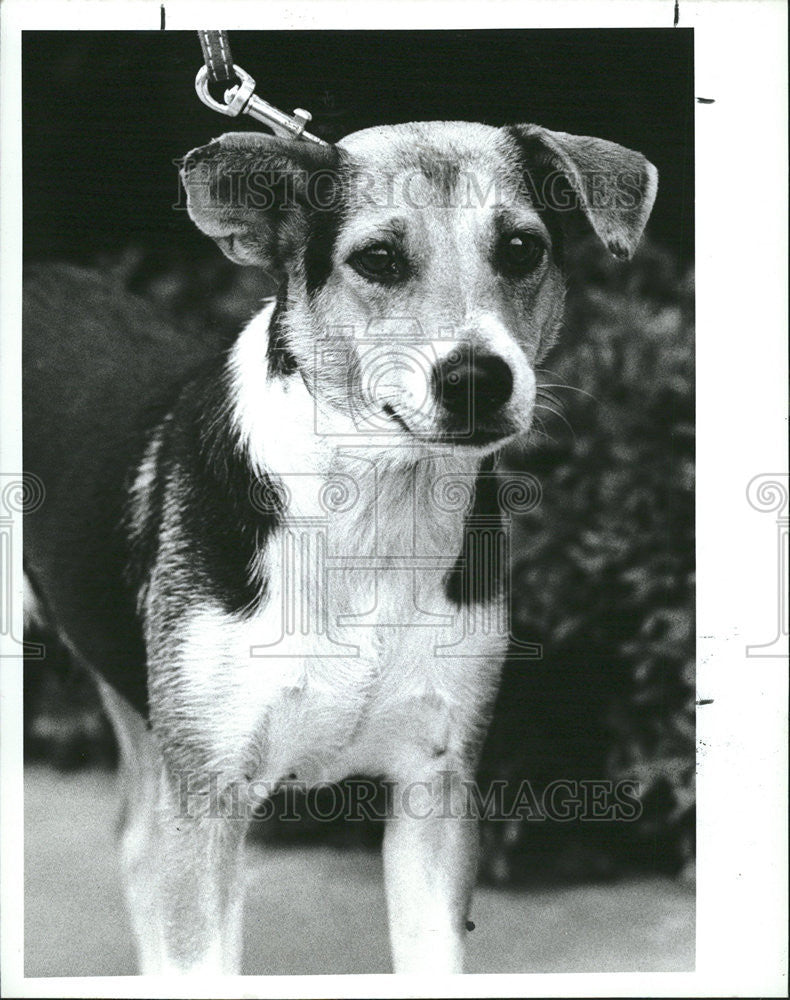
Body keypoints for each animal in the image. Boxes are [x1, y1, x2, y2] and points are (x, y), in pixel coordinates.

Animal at [23, 115, 656, 968]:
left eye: (522, 248)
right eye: (378, 259)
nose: (476, 380)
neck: (373, 509)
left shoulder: (436, 788)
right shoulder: (211, 798)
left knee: (137, 845)